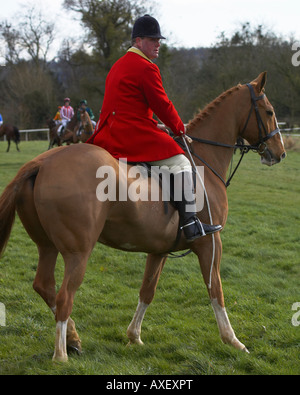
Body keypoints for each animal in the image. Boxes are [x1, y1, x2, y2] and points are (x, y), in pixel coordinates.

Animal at [0, 72, 286, 364]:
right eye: (270, 111)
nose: (280, 152)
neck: (204, 160)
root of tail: (41, 163)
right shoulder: (210, 242)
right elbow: (215, 290)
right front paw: (233, 341)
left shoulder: (159, 250)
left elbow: (147, 290)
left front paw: (134, 336)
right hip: (78, 252)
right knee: (64, 296)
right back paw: (61, 354)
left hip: (47, 246)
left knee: (45, 287)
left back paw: (73, 339)